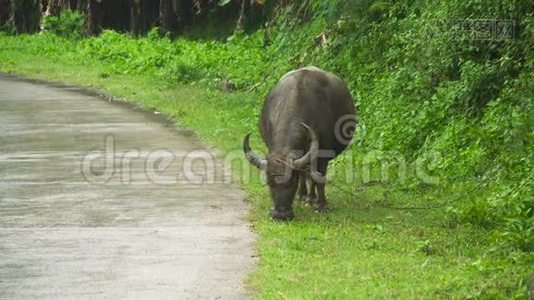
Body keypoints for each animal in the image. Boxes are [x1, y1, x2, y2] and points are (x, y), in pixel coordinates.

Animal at [245, 66, 358, 220]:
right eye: (269, 182)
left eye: (292, 182)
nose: (280, 214)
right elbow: (306, 175)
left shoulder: (323, 153)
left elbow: (319, 178)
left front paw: (321, 205)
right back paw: (305, 196)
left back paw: (312, 199)